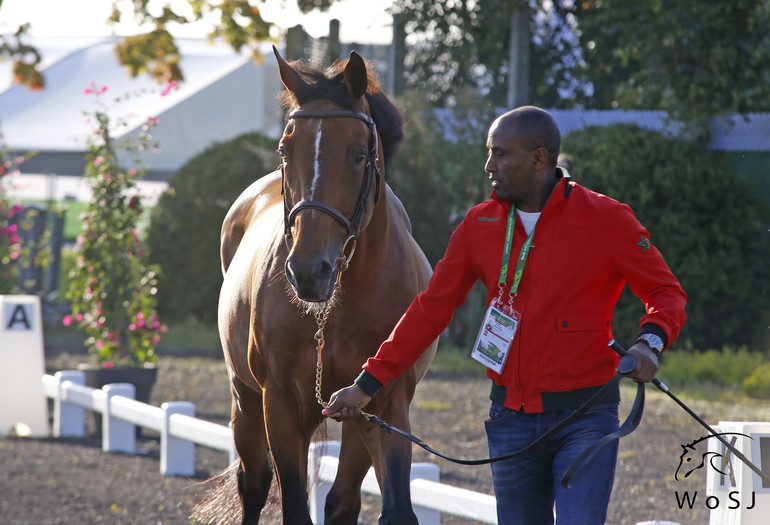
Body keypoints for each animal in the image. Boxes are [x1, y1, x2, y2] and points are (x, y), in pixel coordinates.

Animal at [198, 47, 436, 520]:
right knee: (253, 482)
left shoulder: (379, 405)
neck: (338, 309)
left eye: (360, 155)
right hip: (245, 399)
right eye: (285, 150)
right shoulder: (280, 406)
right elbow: (292, 504)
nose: (309, 270)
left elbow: (380, 506)